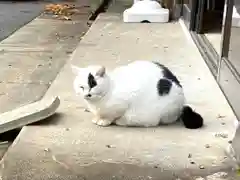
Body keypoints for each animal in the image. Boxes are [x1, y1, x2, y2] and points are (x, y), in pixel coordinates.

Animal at [71, 60, 202, 128]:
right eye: (81, 87)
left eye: (93, 84)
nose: (87, 94)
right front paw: (98, 118)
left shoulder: (126, 100)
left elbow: (113, 115)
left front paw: (105, 121)